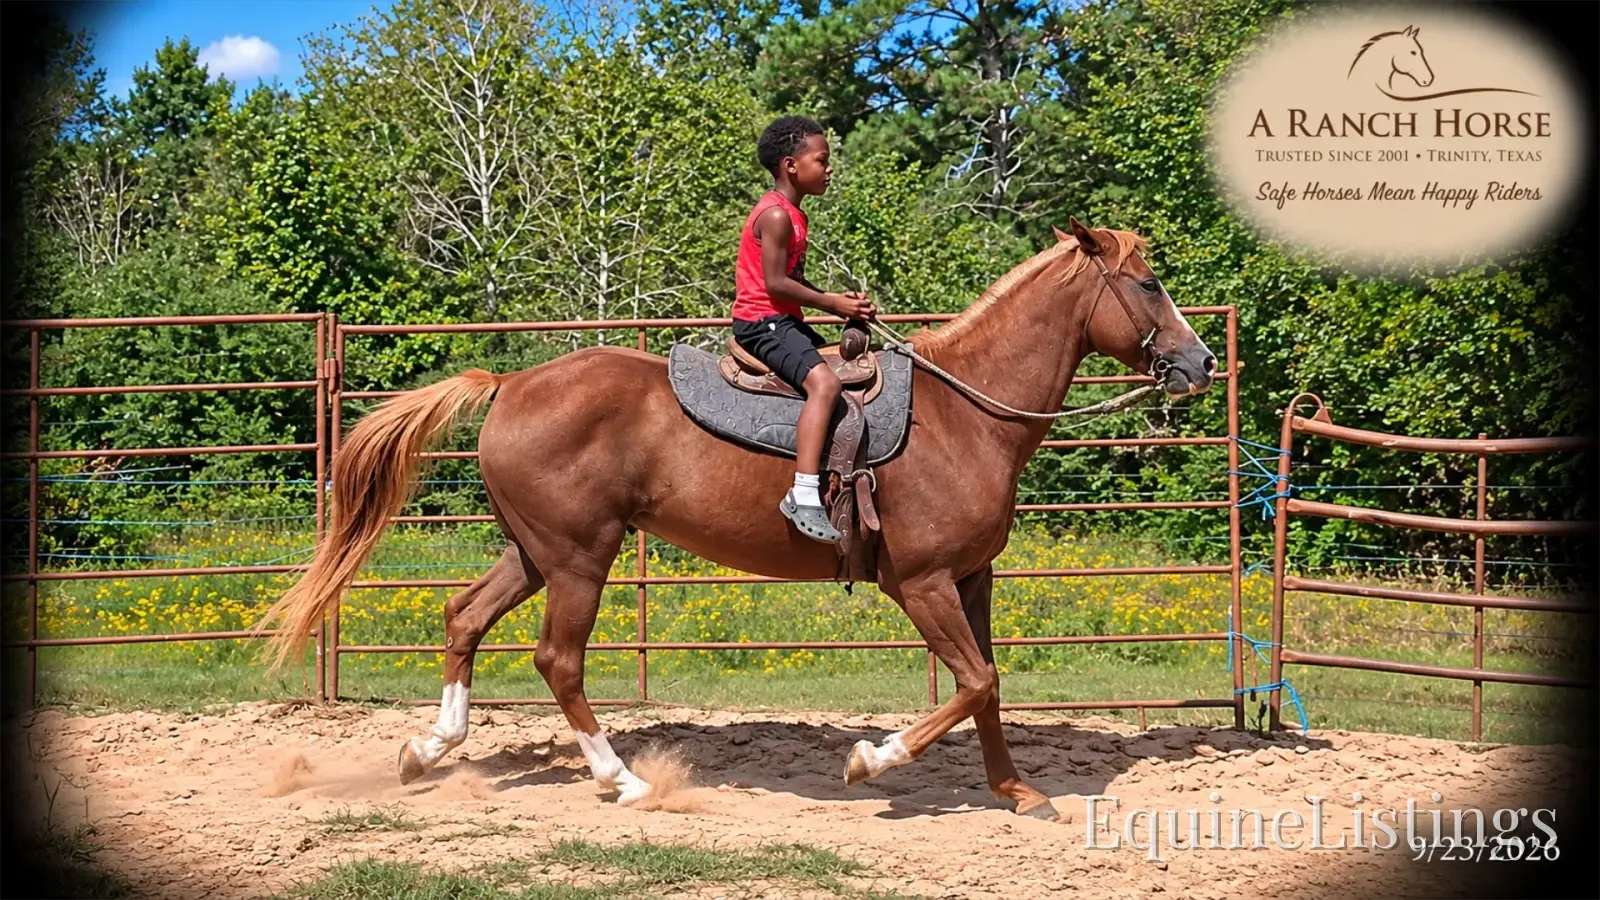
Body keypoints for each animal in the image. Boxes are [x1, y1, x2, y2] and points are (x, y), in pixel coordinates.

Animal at [254, 217, 1218, 821]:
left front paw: (1017, 792)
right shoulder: (922, 583)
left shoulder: (971, 579)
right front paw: (869, 760)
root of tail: (510, 384)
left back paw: (431, 748)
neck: (966, 414)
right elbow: (974, 682)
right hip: (579, 558)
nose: (1201, 362)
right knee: (557, 660)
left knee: (464, 618)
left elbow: (989, 686)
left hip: (534, 551)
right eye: (1148, 283)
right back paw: (623, 781)